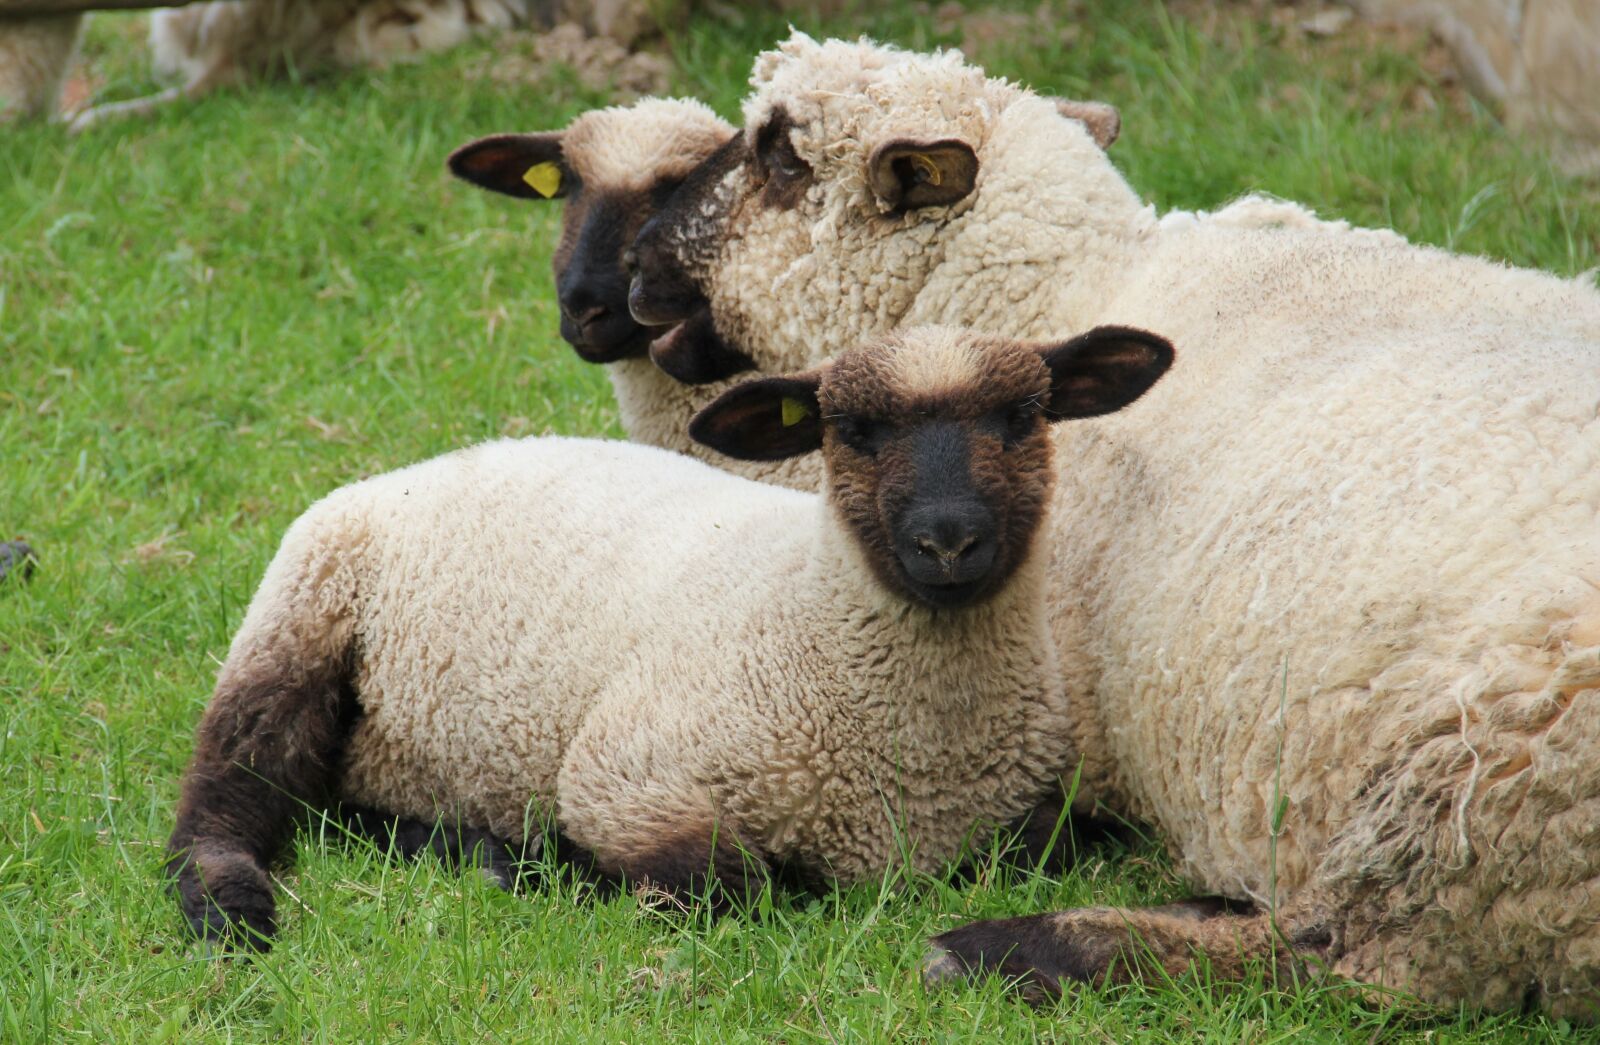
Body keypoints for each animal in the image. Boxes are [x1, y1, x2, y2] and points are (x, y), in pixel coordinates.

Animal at [165, 322, 1174, 948]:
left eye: (1023, 417)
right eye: (853, 429)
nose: (949, 538)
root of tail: (421, 464)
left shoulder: (1034, 804)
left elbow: (1060, 844)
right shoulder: (628, 773)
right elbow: (733, 884)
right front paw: (555, 864)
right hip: (296, 624)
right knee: (227, 794)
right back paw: (235, 911)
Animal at [624, 32, 1600, 1019]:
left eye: (781, 156)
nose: (633, 262)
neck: (1061, 295)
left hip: (1484, 784)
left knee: (1343, 957)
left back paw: (1019, 945)